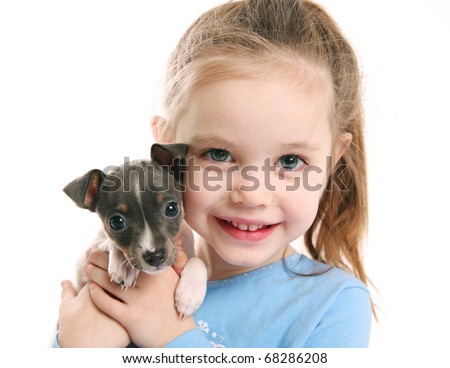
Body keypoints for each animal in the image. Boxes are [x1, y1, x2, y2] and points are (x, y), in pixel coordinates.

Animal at [63, 144, 207, 316]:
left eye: (172, 208)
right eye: (116, 222)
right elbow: (108, 244)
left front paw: (190, 293)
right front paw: (124, 265)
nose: (155, 256)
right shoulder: (82, 271)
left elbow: (198, 261)